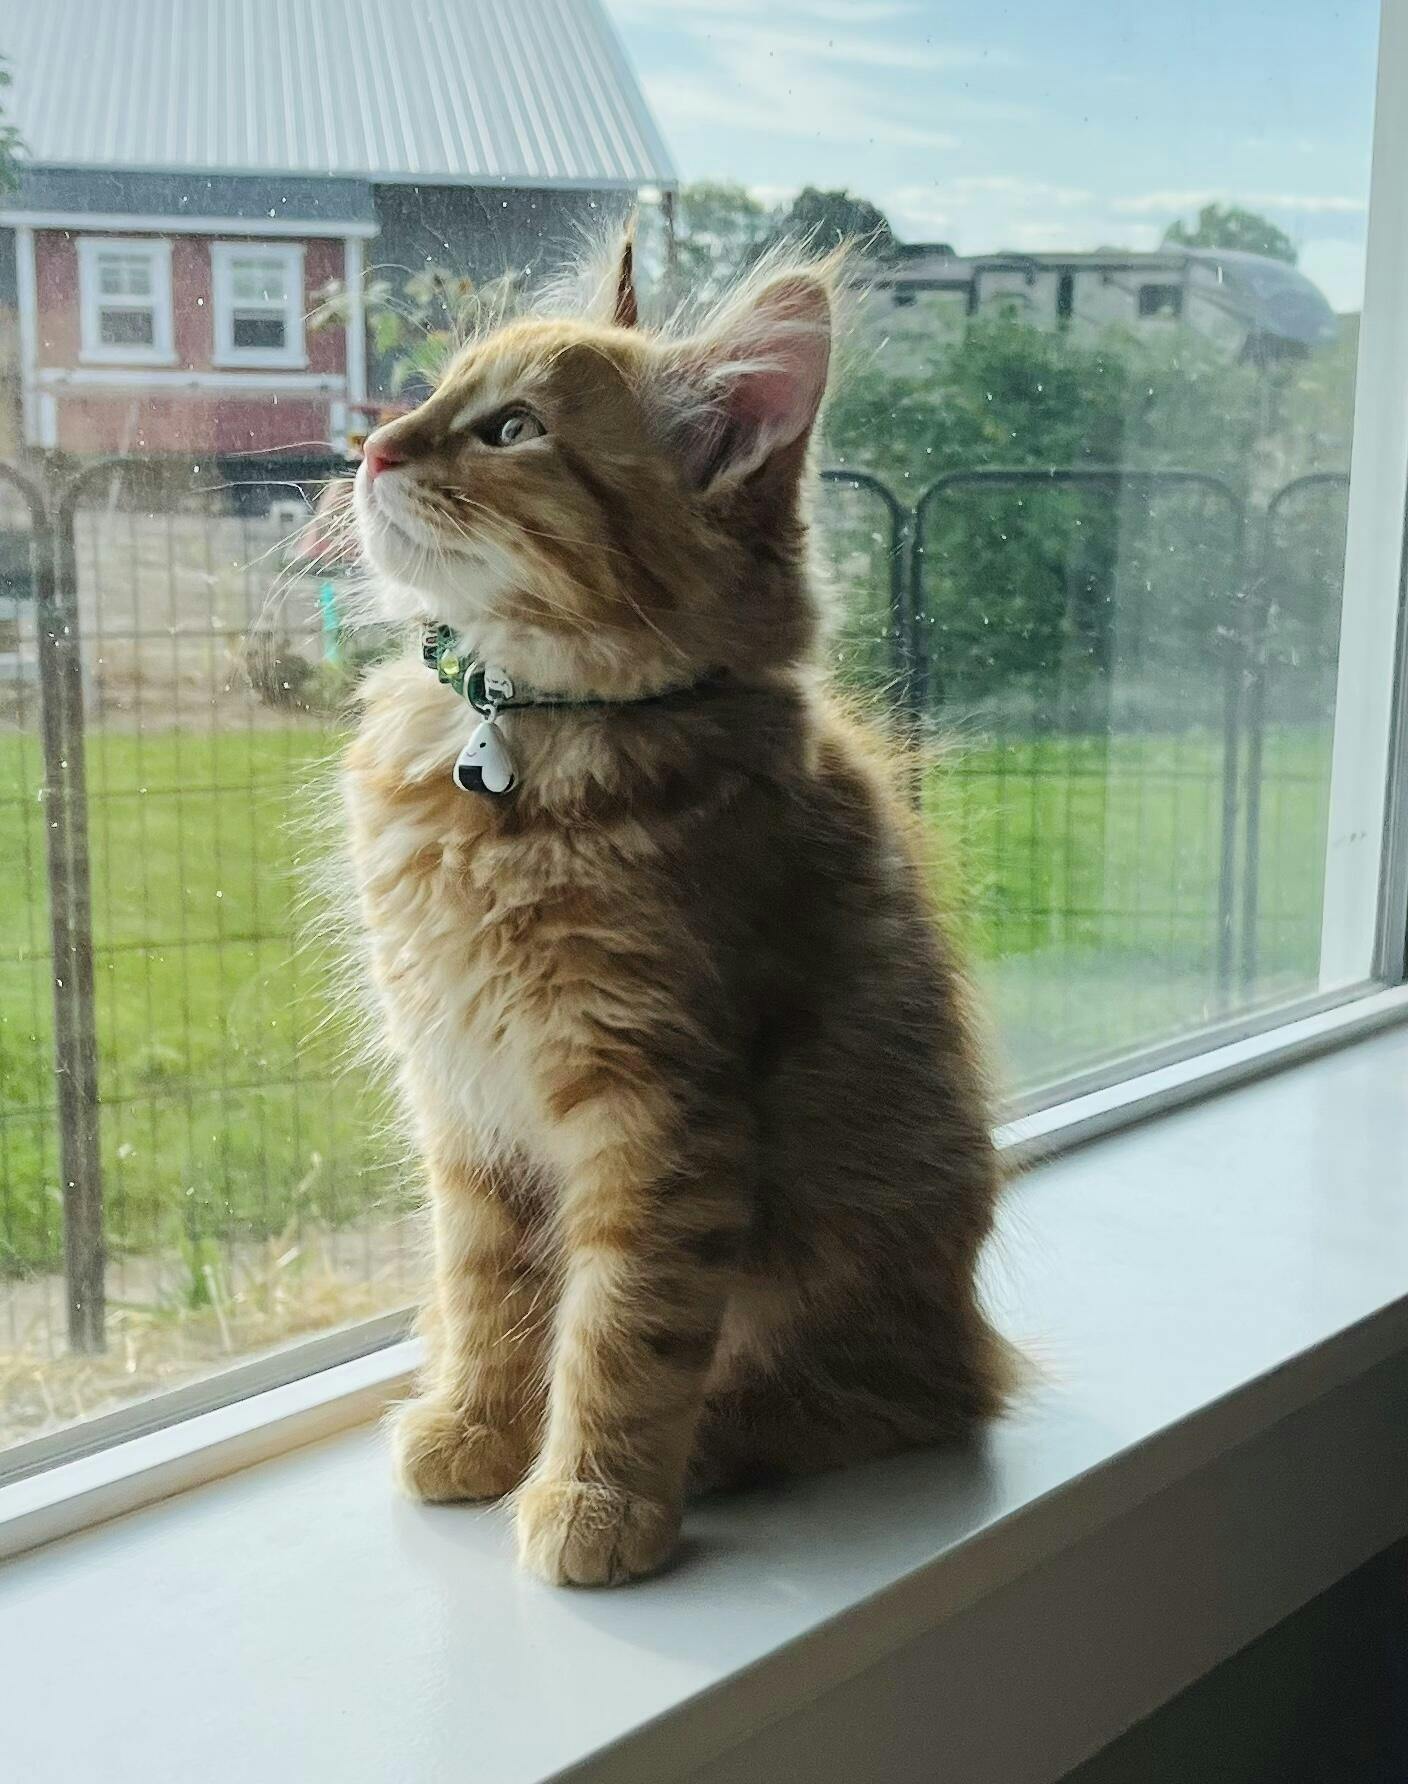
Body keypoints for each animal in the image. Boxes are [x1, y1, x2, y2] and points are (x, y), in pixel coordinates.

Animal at [340, 235, 1011, 1587]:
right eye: (431, 393)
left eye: (512, 429)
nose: (373, 447)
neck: (520, 737)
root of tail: (972, 1335)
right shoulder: (465, 1103)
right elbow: (488, 1291)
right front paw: (477, 1425)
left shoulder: (660, 1108)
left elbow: (623, 1328)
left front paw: (593, 1495)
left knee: (872, 1401)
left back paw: (702, 1452)